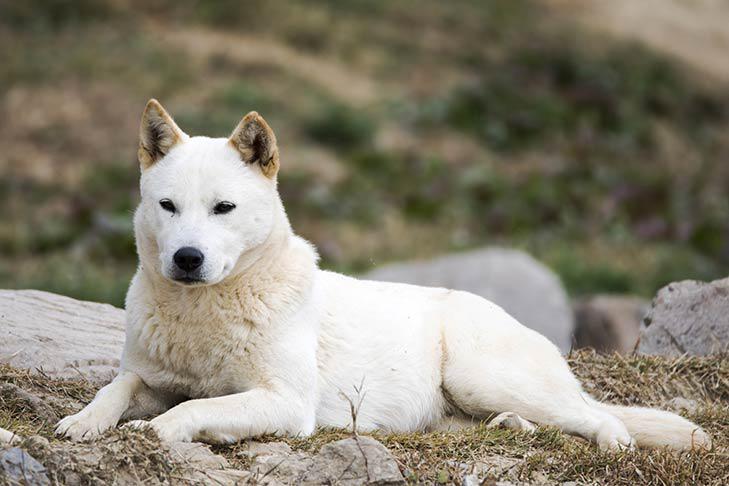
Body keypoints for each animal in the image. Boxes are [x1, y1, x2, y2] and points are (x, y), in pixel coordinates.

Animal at [58, 99, 712, 452]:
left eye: (224, 208)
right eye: (168, 206)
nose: (187, 259)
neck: (203, 313)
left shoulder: (284, 403)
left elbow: (186, 413)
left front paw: (158, 434)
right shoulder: (149, 377)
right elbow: (116, 388)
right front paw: (82, 422)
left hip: (483, 376)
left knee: (598, 416)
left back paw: (613, 442)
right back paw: (513, 429)